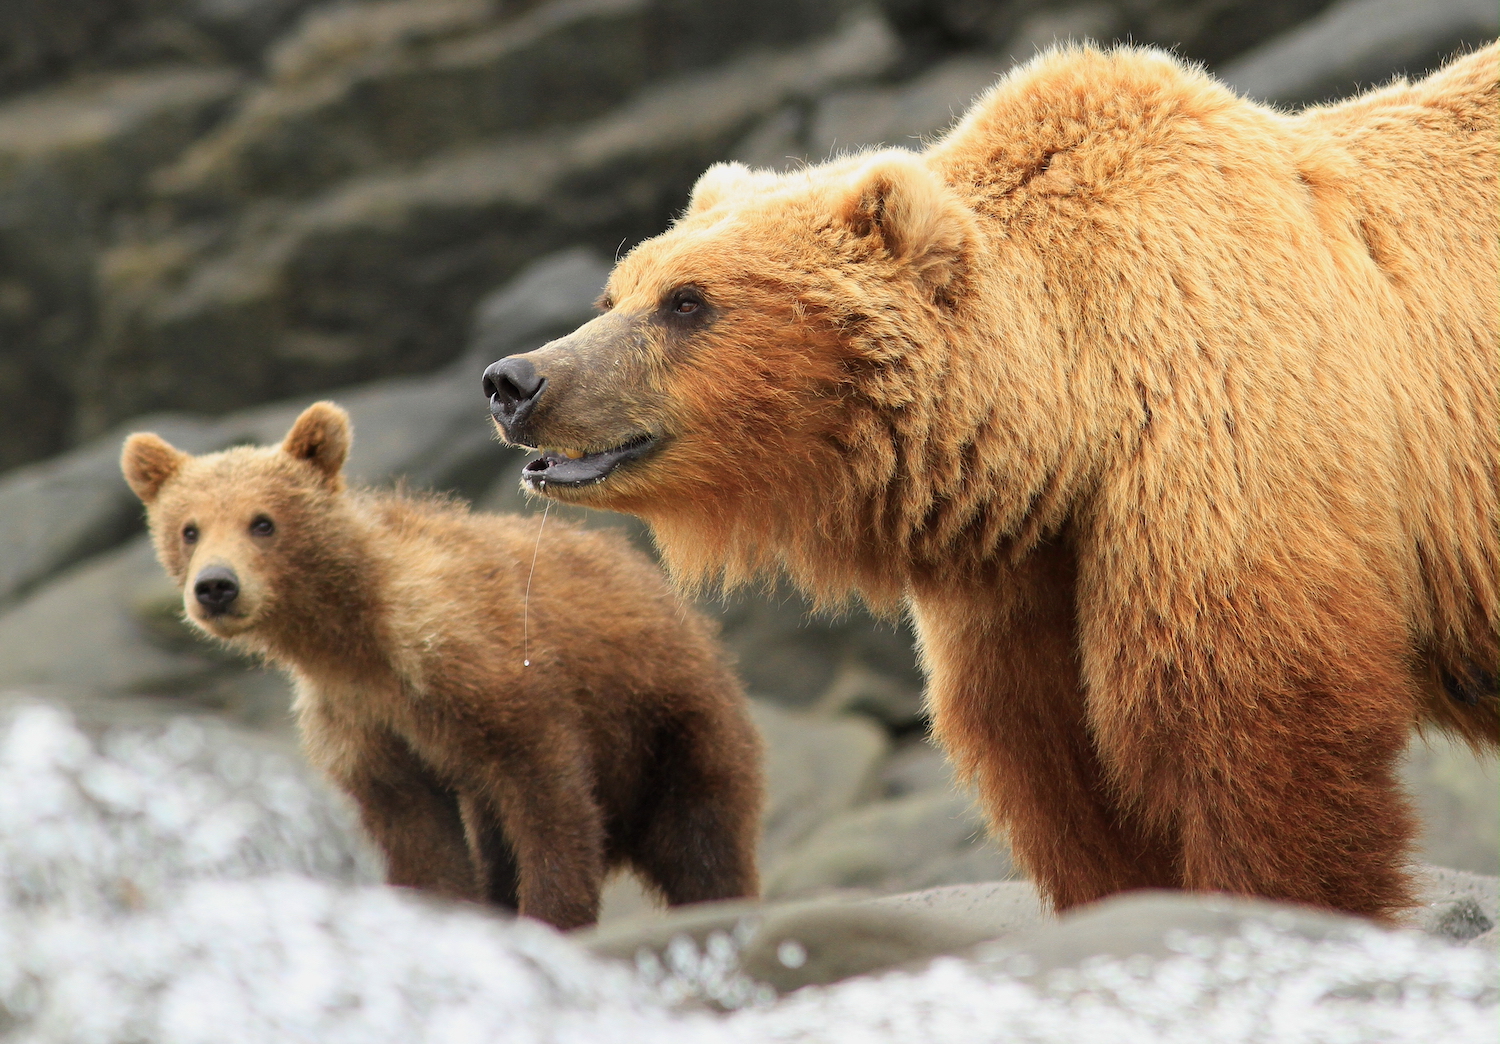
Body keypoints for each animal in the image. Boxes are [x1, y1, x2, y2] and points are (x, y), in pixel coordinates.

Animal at [121, 402, 763, 930]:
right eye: (188, 529)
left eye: (262, 521)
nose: (216, 586)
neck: (356, 640)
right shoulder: (361, 723)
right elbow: (417, 834)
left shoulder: (486, 670)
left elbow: (549, 802)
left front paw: (553, 914)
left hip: (671, 720)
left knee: (700, 836)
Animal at [482, 43, 1499, 921]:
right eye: (617, 293)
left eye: (688, 302)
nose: (515, 380)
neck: (1071, 416)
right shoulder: (1024, 575)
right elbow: (1056, 772)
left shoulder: (1228, 441)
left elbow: (1257, 729)